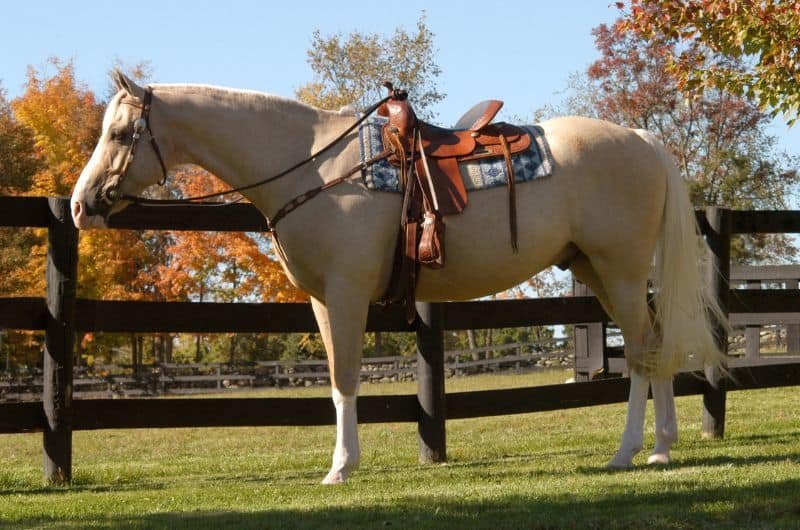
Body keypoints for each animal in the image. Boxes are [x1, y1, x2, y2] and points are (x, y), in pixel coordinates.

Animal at [71, 70, 724, 484]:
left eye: (121, 134)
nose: (80, 205)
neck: (313, 165)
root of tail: (640, 138)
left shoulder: (346, 294)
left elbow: (345, 378)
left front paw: (341, 467)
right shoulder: (321, 301)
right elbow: (338, 382)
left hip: (620, 270)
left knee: (641, 352)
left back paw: (632, 451)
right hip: (599, 270)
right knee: (653, 346)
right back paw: (662, 448)